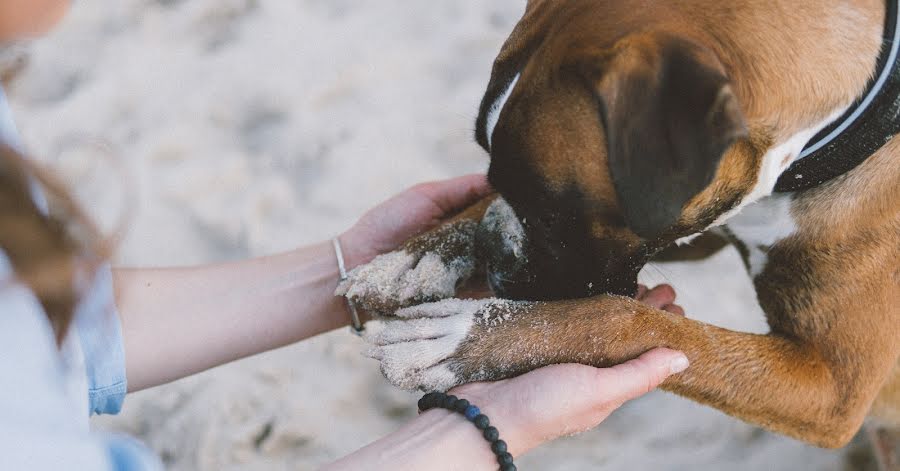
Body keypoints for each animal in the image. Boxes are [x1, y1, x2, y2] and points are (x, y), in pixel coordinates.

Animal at [340, 0, 900, 450]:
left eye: (552, 213)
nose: (496, 255)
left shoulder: (830, 391)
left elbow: (626, 318)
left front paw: (465, 337)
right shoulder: (699, 222)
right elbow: (482, 207)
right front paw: (417, 255)